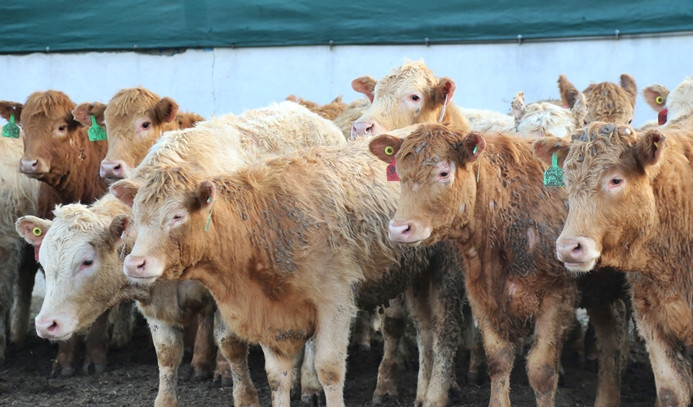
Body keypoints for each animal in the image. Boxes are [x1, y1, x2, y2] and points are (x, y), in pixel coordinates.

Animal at [370, 124, 628, 407]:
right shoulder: (482, 296)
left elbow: (541, 370)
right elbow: (499, 360)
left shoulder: (557, 297)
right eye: (399, 173)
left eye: (443, 172)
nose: (399, 229)